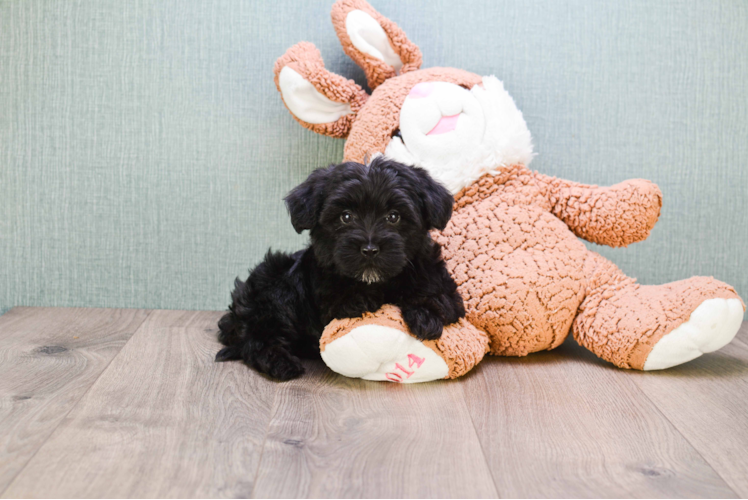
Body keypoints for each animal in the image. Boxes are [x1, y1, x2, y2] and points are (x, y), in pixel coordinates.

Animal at [213, 158, 464, 380]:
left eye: (394, 216)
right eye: (346, 216)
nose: (370, 249)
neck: (377, 281)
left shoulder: (439, 280)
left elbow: (439, 297)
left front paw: (425, 316)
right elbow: (343, 300)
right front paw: (361, 299)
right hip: (273, 285)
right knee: (257, 340)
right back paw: (282, 364)